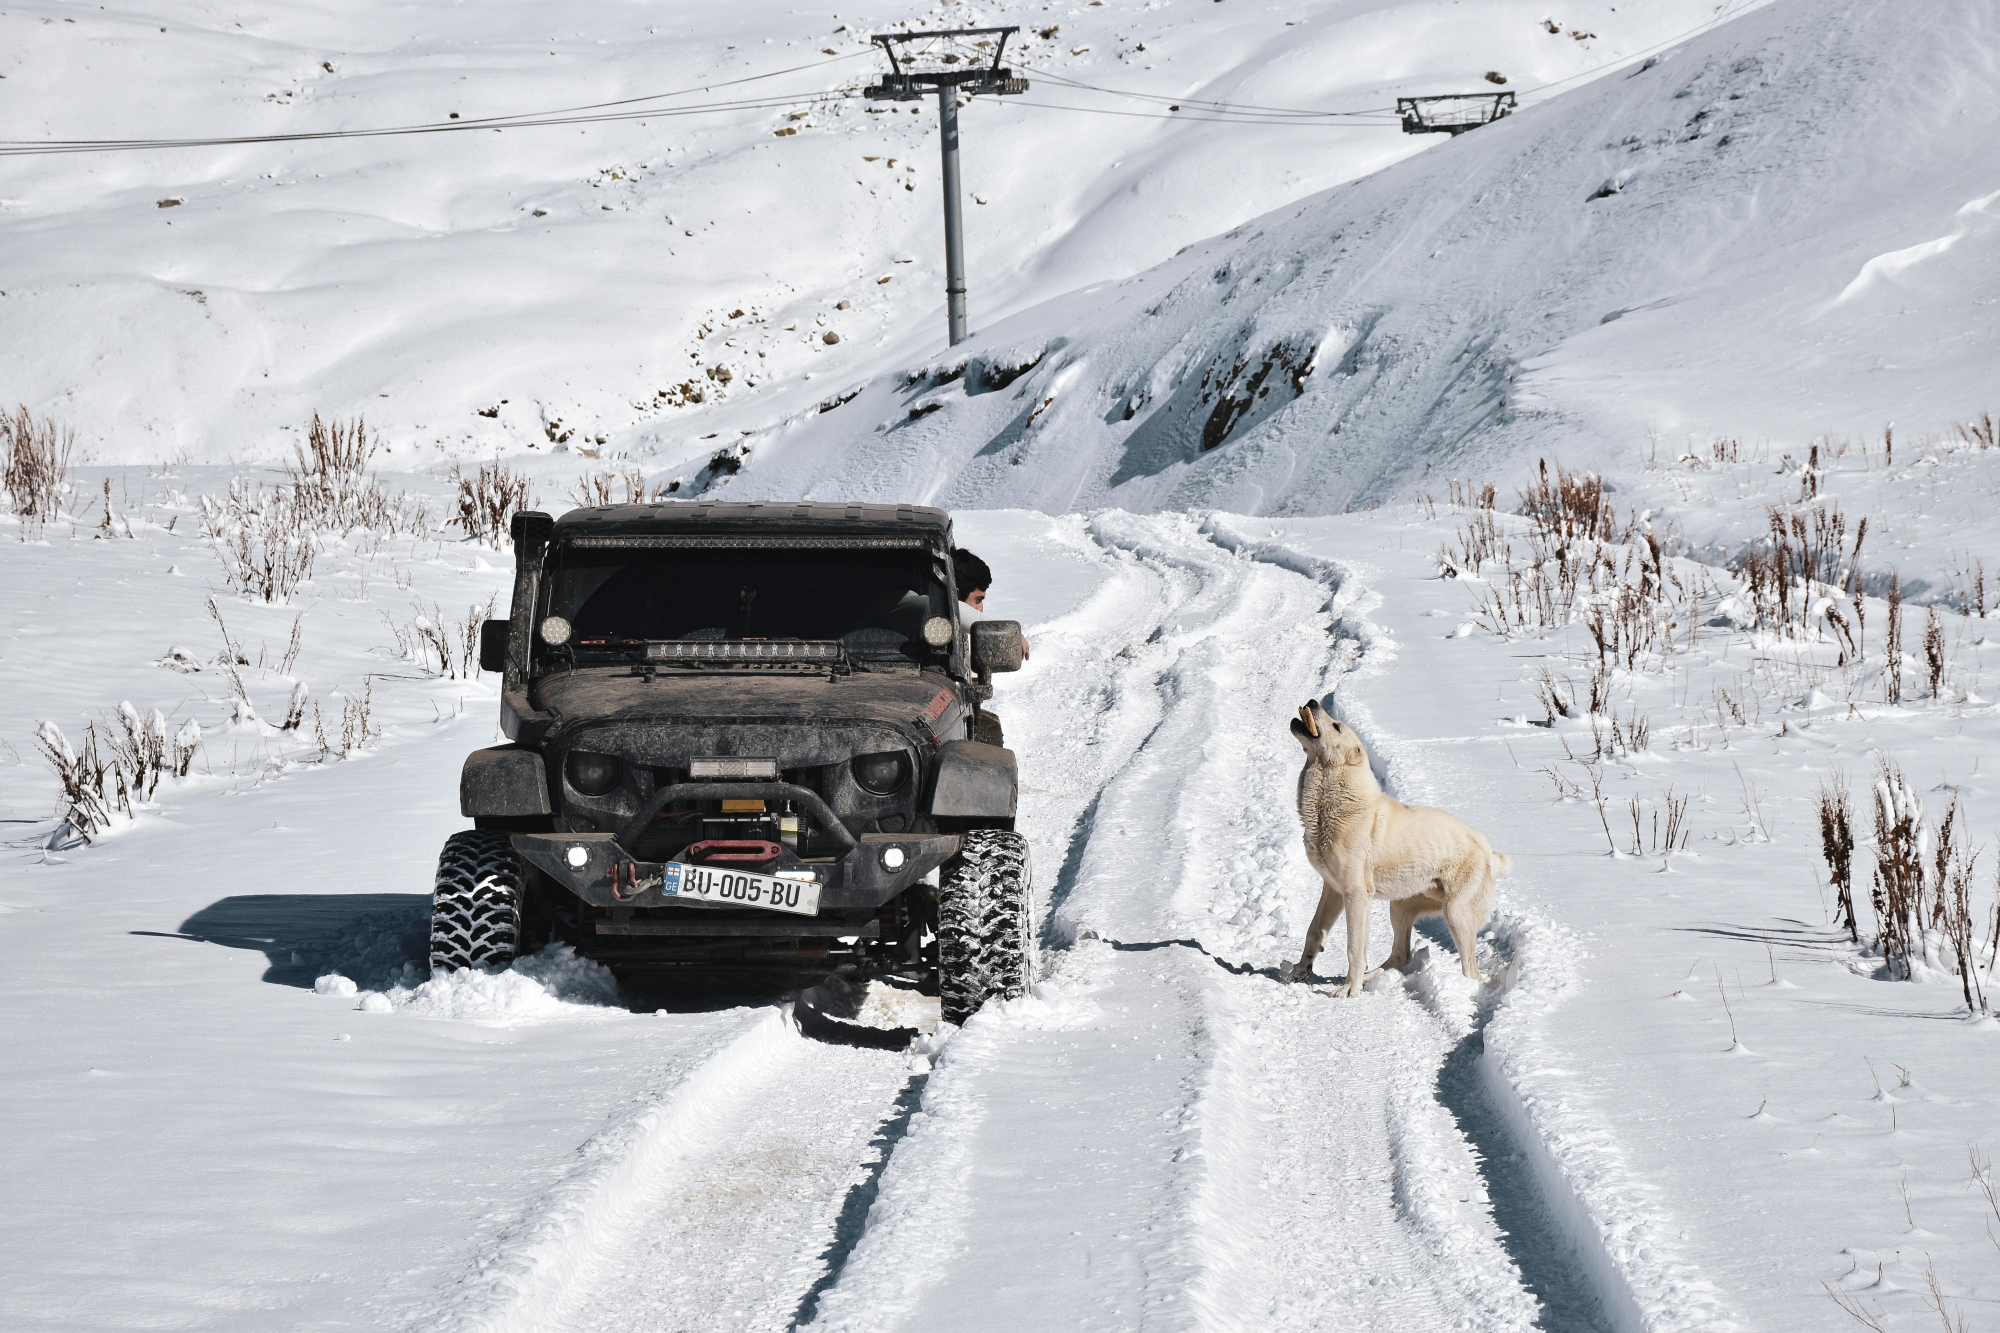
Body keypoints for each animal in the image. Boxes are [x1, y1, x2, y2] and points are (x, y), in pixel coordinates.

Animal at [1288, 700, 1504, 992]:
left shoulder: (1356, 894)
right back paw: (1372, 978)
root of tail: (1487, 849)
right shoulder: (1332, 890)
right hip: (1401, 905)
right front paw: (1300, 971)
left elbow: (1354, 947)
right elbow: (1314, 931)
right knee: (1401, 954)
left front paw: (1348, 990)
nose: (1312, 702)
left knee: (1471, 970)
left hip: (1456, 913)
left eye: (1336, 726)